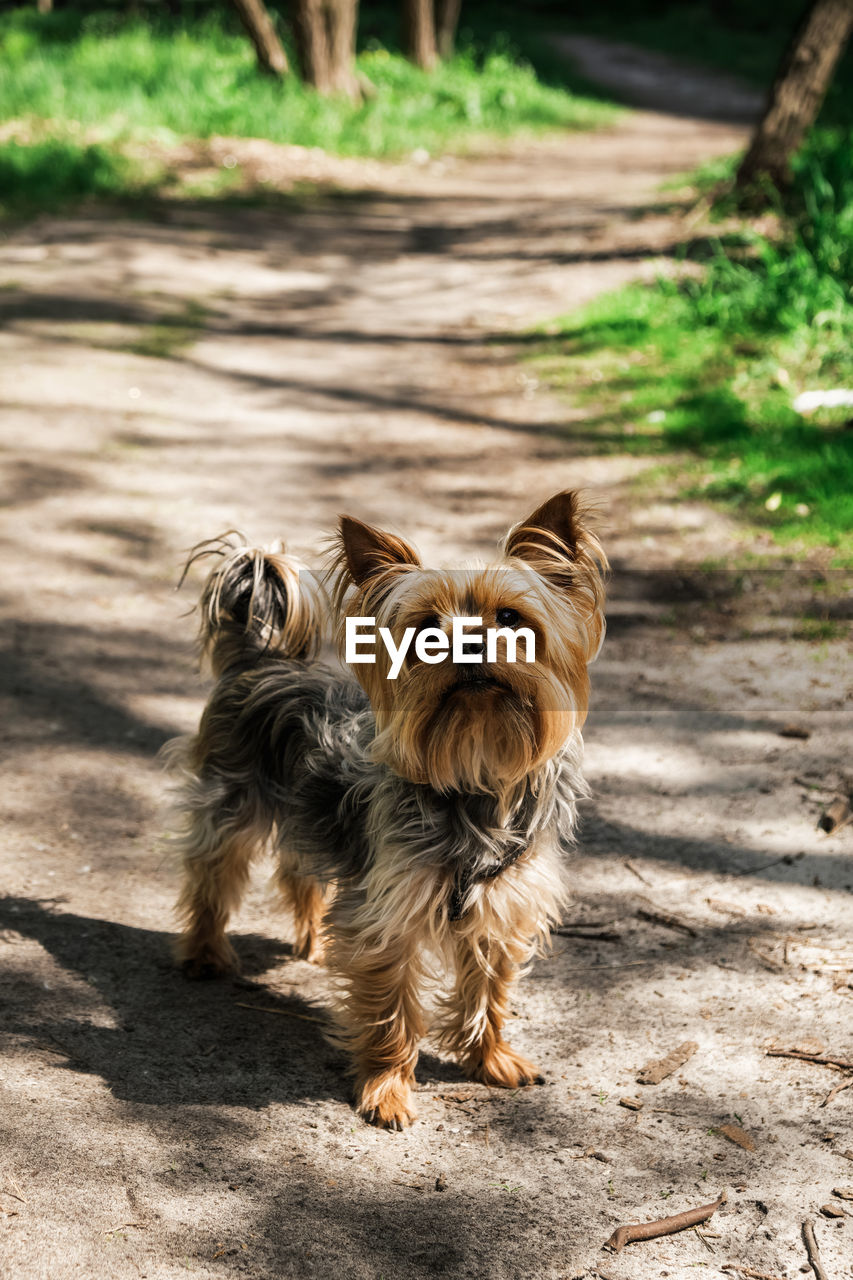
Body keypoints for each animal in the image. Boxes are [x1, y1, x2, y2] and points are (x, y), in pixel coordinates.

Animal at [167, 491, 604, 1131]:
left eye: (509, 618)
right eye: (425, 628)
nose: (471, 644)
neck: (475, 771)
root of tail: (258, 660)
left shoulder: (503, 902)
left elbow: (489, 990)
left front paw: (490, 1059)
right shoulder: (388, 912)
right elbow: (392, 1009)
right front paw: (387, 1089)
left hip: (309, 816)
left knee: (299, 871)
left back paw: (312, 944)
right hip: (229, 803)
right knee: (211, 874)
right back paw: (203, 953)